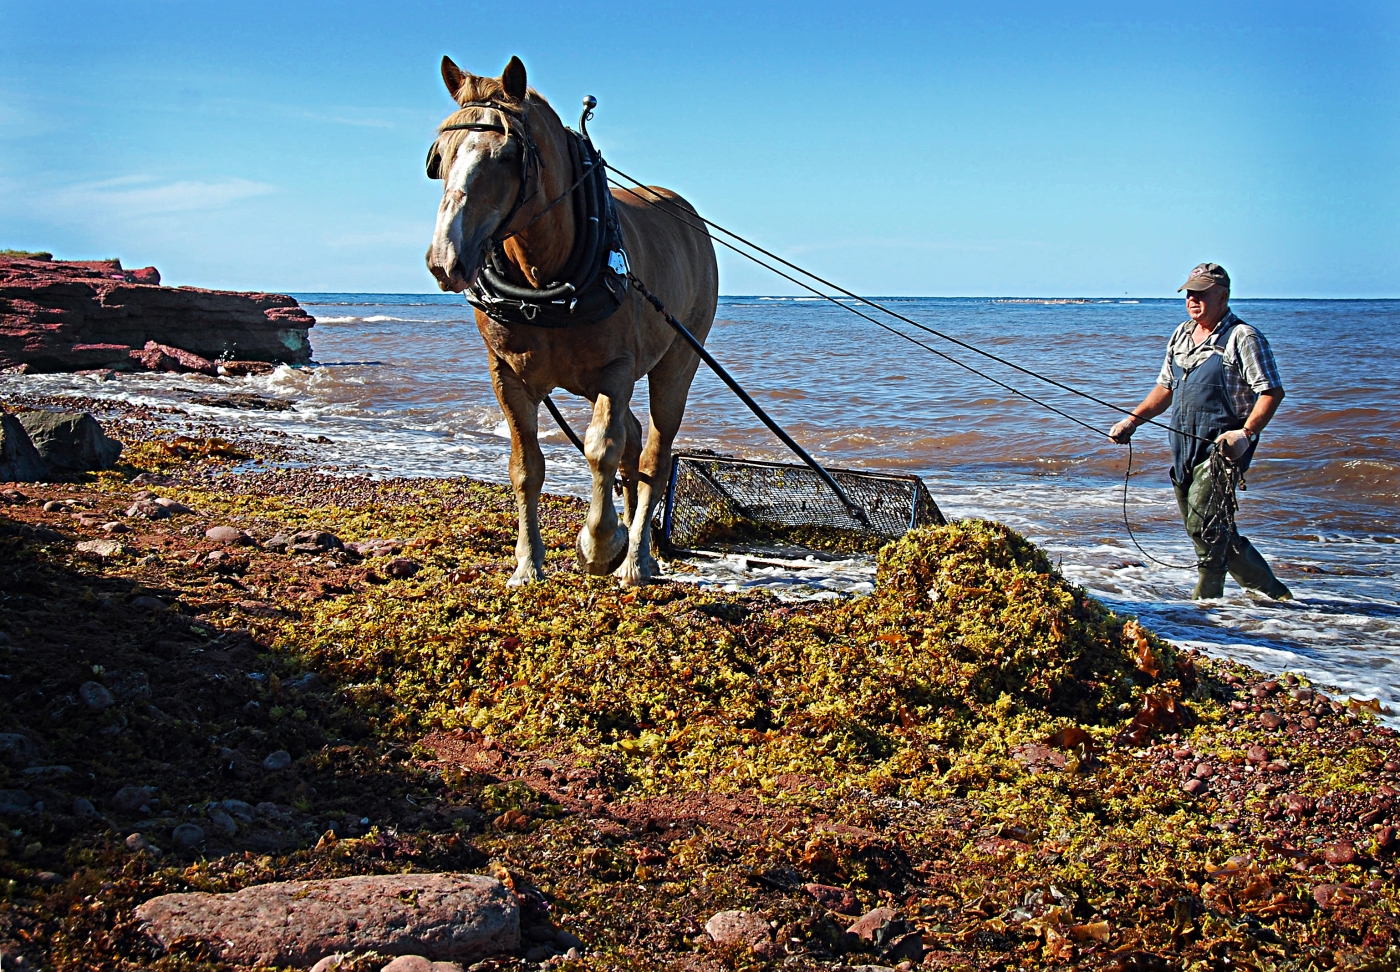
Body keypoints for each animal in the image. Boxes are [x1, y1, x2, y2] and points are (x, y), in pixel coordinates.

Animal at [420, 57, 716, 591]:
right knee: (635, 443)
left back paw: (637, 558)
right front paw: (527, 564)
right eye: (440, 158)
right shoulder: (507, 375)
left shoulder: (616, 372)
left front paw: (600, 545)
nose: (445, 261)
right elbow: (526, 467)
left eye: (506, 155)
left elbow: (602, 449)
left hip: (677, 364)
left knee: (654, 454)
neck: (545, 280)